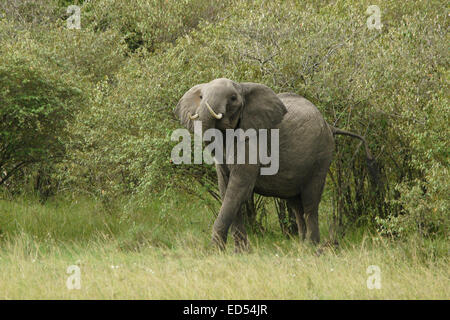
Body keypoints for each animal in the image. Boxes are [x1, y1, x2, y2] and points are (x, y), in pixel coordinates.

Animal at [174, 78, 374, 252]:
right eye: (201, 97)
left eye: (232, 98)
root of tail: (329, 125)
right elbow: (226, 189)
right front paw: (239, 252)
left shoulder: (253, 140)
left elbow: (238, 188)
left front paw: (216, 251)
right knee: (296, 204)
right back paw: (302, 245)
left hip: (321, 156)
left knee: (310, 201)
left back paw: (312, 247)